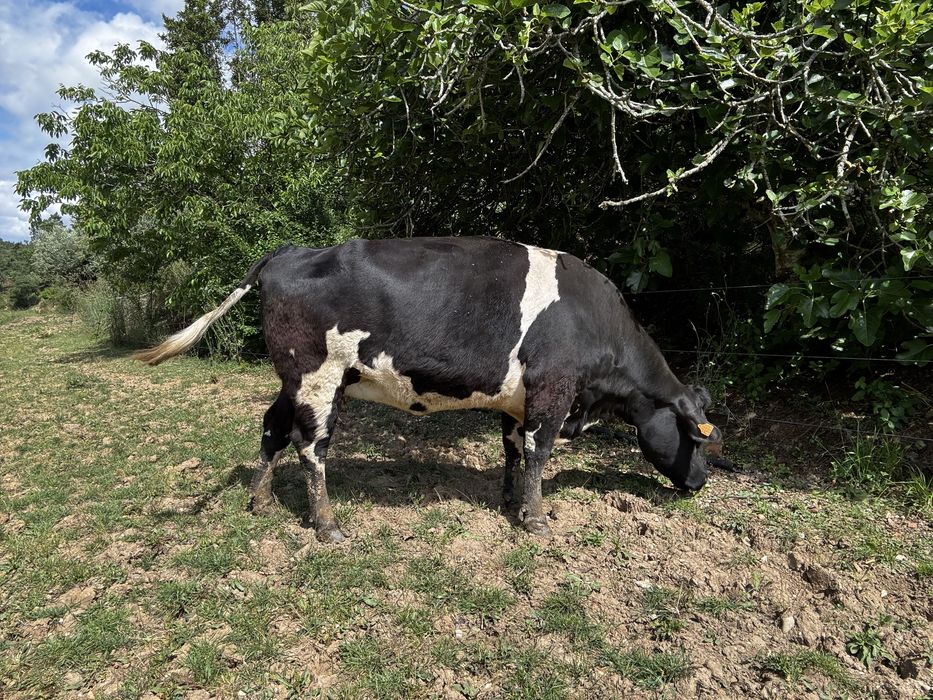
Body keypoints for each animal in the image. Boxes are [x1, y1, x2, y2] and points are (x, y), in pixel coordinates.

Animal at [134, 237, 724, 543]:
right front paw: (536, 519)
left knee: (271, 427)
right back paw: (327, 525)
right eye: (698, 438)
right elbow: (538, 454)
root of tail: (288, 253)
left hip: (295, 379)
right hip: (318, 376)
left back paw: (259, 500)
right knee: (311, 447)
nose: (698, 484)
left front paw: (508, 498)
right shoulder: (552, 390)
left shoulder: (517, 399)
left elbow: (512, 450)